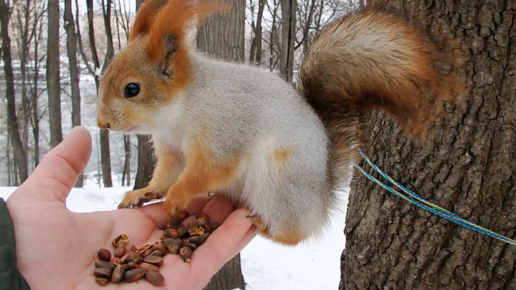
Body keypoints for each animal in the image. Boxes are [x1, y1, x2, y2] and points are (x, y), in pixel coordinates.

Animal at [97, 0, 464, 245]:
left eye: (132, 89)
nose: (102, 124)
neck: (181, 108)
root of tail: (321, 201)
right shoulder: (172, 149)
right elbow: (166, 173)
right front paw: (144, 192)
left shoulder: (224, 131)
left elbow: (209, 171)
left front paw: (177, 196)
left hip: (277, 182)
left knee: (293, 236)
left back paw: (266, 229)